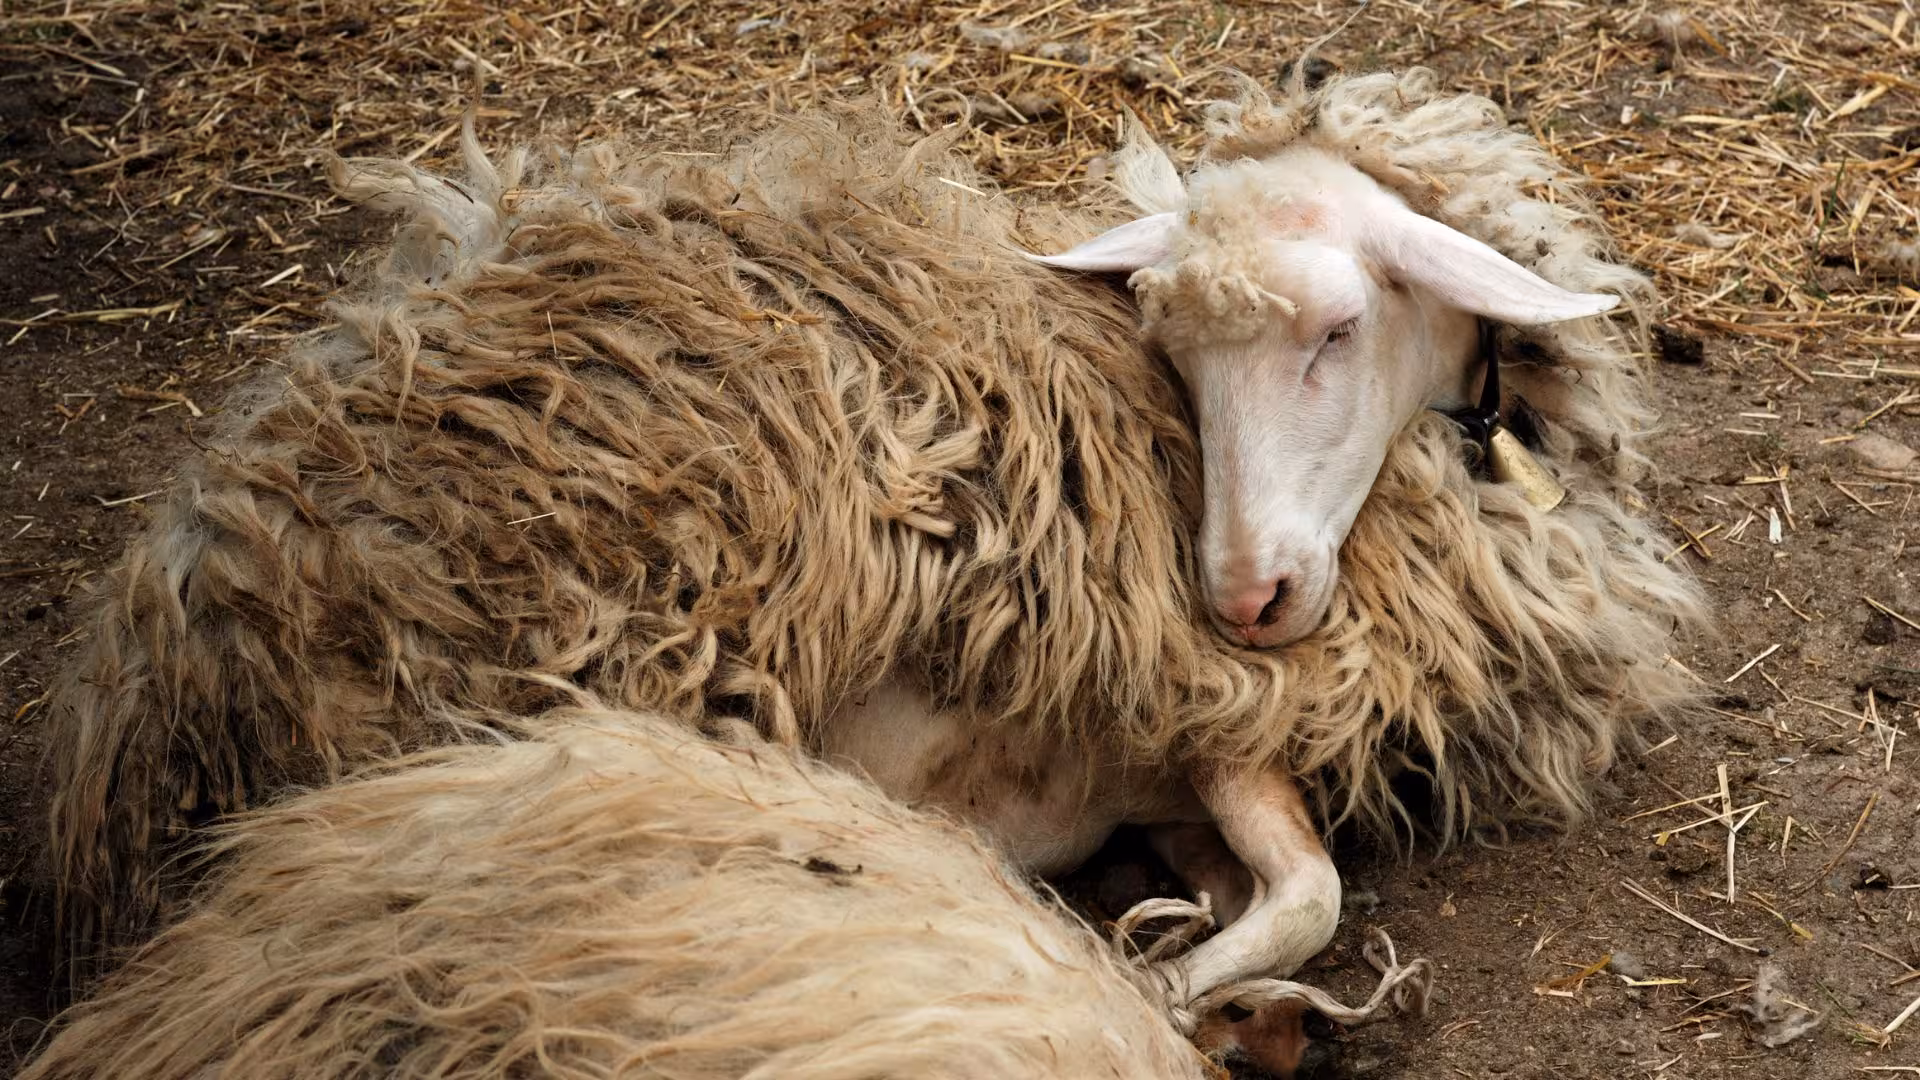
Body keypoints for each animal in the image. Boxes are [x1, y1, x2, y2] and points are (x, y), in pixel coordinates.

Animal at [44, 66, 1702, 1043]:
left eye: (1341, 328)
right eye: (1169, 348)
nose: (1241, 596)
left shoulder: (1176, 760)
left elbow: (1274, 885)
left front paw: (1188, 947)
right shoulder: (1209, 711)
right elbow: (1311, 893)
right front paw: (1173, 981)